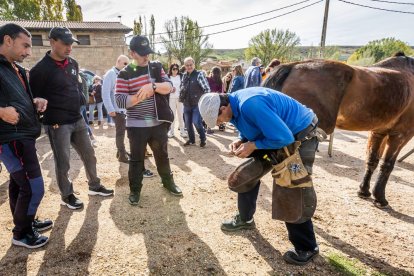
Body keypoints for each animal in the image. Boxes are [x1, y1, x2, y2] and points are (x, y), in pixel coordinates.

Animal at [264, 52, 414, 207]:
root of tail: (292, 66)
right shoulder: (401, 134)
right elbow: (387, 165)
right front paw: (380, 197)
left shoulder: (378, 132)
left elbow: (372, 160)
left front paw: (364, 191)